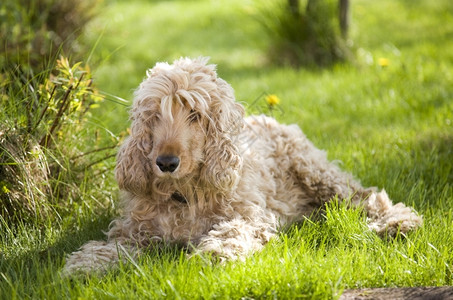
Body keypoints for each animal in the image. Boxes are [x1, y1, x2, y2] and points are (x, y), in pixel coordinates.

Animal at [63, 56, 420, 274]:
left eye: (195, 115)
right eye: (154, 115)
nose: (165, 162)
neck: (186, 194)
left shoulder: (250, 217)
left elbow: (232, 230)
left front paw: (213, 253)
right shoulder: (135, 230)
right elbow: (113, 245)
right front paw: (85, 264)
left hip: (316, 172)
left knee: (367, 196)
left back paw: (397, 223)